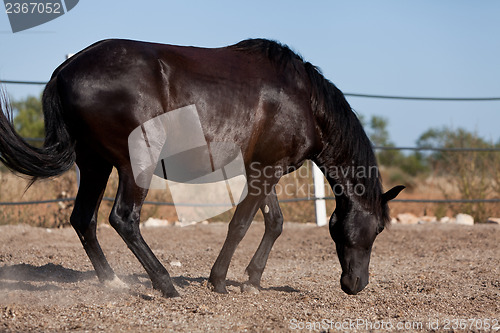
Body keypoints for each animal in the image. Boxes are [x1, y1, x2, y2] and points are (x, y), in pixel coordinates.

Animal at [0, 39, 404, 296]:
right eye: (379, 229)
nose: (356, 285)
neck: (304, 100)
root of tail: (64, 71)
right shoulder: (266, 169)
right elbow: (240, 225)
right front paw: (219, 281)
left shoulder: (263, 169)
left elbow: (274, 222)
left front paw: (253, 279)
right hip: (135, 163)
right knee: (123, 219)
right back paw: (165, 284)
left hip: (95, 164)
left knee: (84, 219)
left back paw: (113, 282)